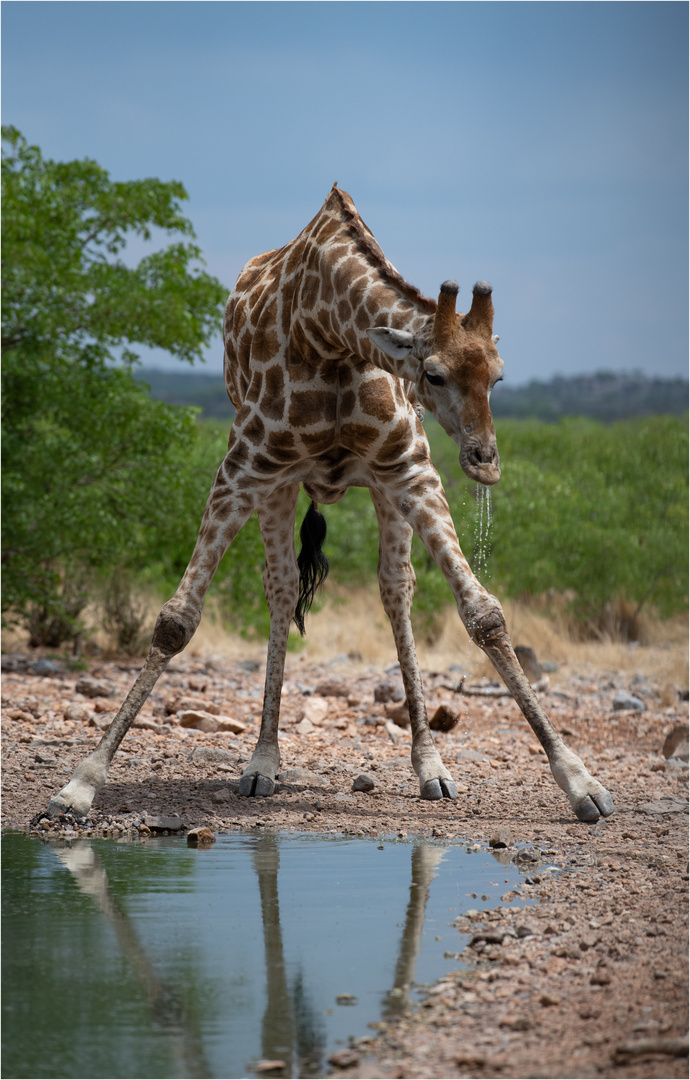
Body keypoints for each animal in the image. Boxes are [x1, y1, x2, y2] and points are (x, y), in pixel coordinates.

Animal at [44, 187, 613, 825]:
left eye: (498, 375)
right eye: (434, 373)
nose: (484, 460)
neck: (332, 334)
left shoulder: (411, 468)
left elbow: (484, 613)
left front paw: (581, 783)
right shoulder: (244, 467)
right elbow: (175, 620)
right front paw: (79, 784)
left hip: (387, 491)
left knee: (395, 589)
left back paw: (431, 767)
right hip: (281, 485)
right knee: (282, 587)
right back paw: (262, 763)